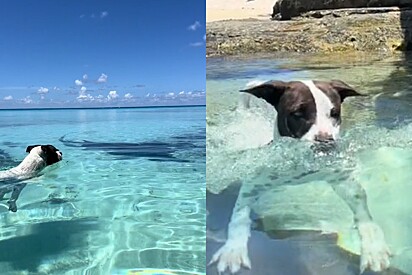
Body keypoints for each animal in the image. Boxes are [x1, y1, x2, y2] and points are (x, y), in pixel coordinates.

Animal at [211, 80, 392, 274]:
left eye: (334, 113)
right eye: (297, 113)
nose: (326, 142)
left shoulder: (345, 183)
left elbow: (364, 214)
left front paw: (374, 247)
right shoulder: (253, 183)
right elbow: (239, 216)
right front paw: (233, 249)